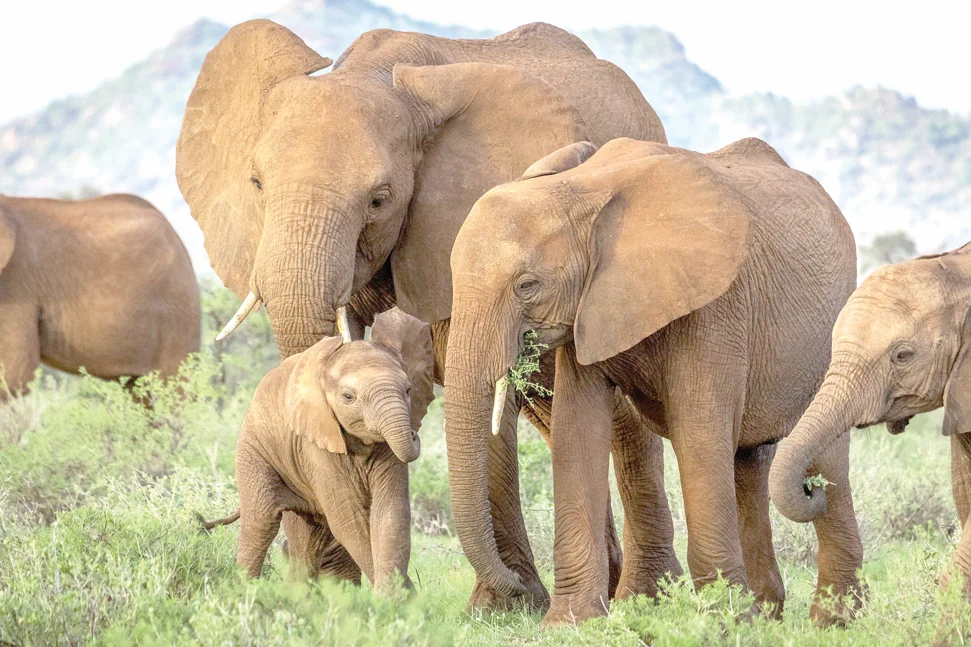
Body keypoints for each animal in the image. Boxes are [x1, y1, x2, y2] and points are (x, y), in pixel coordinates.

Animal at [201, 308, 435, 591]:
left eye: (409, 390)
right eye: (348, 397)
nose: (413, 434)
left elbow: (390, 512)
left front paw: (398, 595)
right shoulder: (314, 442)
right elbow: (347, 519)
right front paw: (397, 596)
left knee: (309, 539)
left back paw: (297, 595)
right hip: (253, 448)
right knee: (261, 521)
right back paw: (245, 591)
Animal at [443, 136, 865, 626]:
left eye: (527, 285)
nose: (512, 587)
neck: (583, 188)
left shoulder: (714, 303)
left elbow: (699, 432)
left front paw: (719, 621)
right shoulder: (587, 310)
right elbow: (576, 433)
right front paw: (570, 623)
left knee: (824, 463)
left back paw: (835, 619)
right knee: (749, 462)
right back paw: (764, 613)